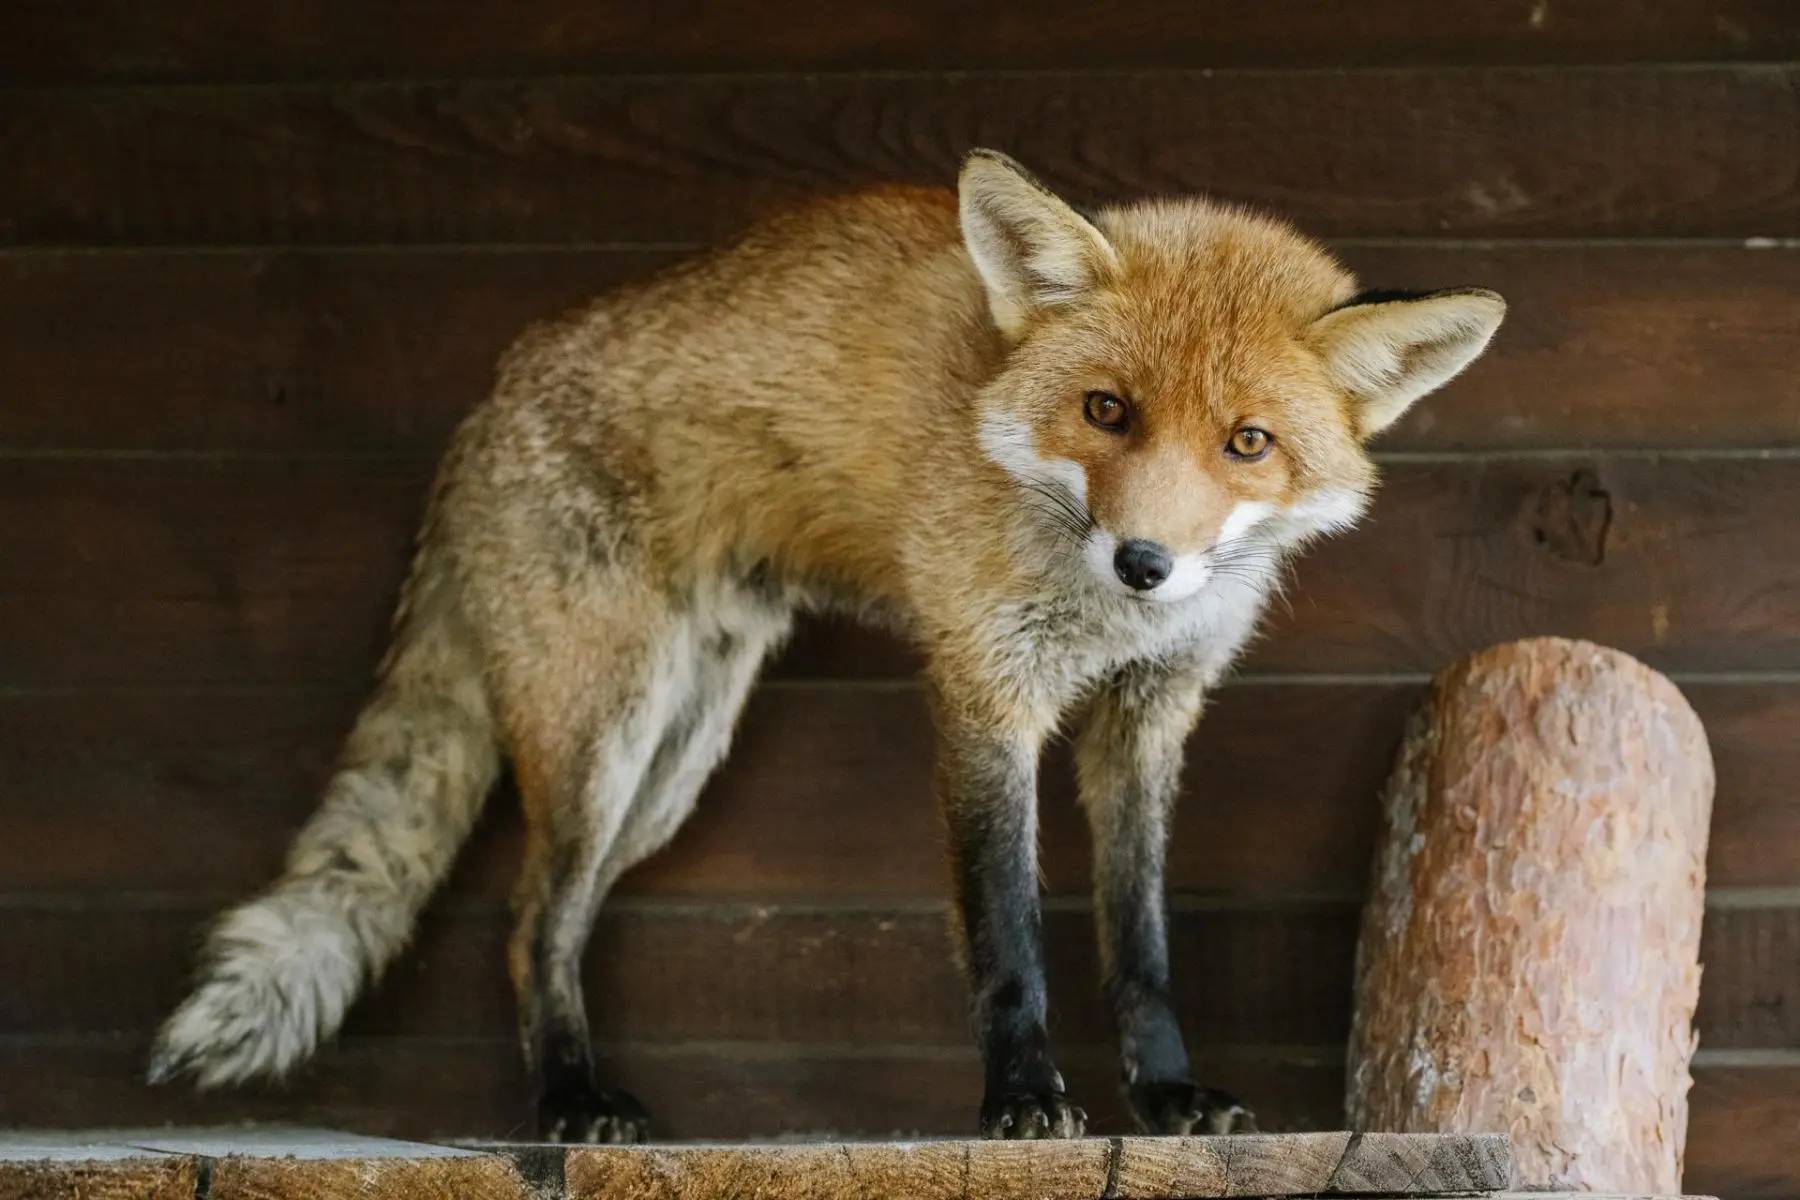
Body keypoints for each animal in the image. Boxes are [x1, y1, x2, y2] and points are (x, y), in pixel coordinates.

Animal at [149, 149, 1504, 1143]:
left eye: (1248, 443)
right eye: (1107, 411)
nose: (1145, 564)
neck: (1094, 607)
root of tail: (491, 391)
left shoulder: (1148, 716)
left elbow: (1143, 940)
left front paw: (1168, 1096)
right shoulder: (984, 694)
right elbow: (1007, 932)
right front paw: (1021, 1101)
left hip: (675, 758)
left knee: (552, 920)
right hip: (604, 738)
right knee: (533, 921)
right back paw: (574, 1102)